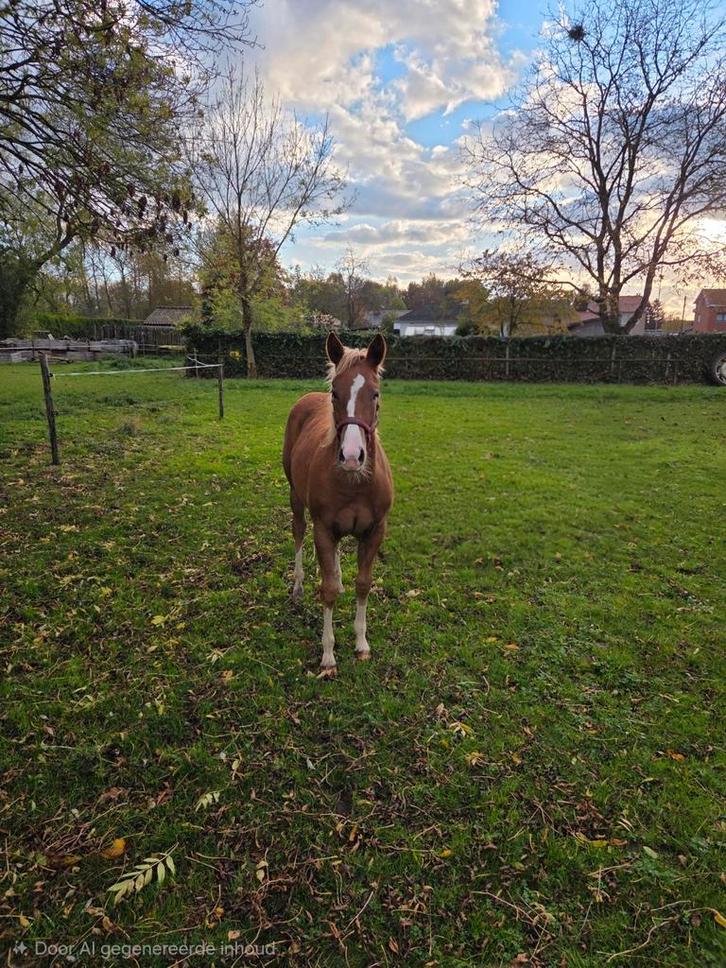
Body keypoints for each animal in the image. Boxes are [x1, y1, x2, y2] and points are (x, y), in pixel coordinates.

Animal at [282, 332, 393, 676]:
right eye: (335, 393)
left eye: (375, 394)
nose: (351, 456)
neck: (354, 484)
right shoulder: (323, 530)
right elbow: (327, 589)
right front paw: (328, 655)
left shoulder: (374, 531)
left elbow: (363, 584)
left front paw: (361, 644)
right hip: (295, 498)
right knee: (298, 533)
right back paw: (298, 587)